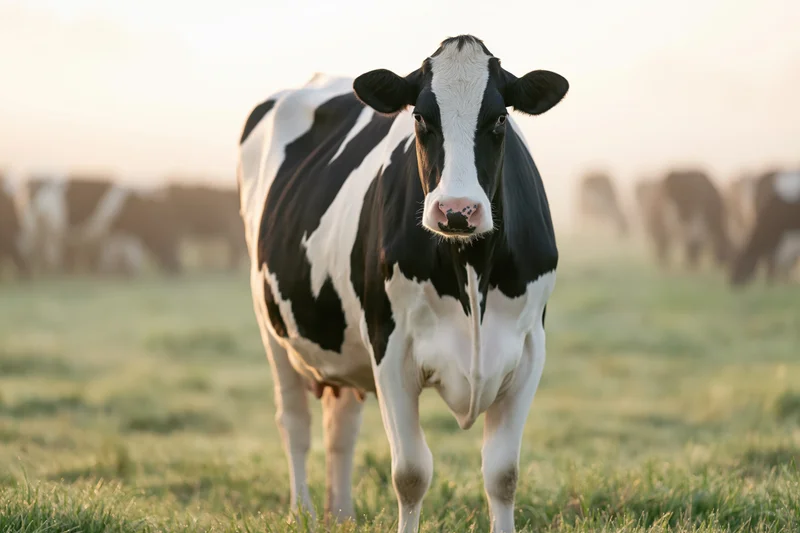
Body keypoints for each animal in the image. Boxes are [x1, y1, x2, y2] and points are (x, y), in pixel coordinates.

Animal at [23, 175, 182, 275]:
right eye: (167, 234)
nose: (177, 268)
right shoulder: (113, 236)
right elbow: (113, 260)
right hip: (50, 232)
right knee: (49, 254)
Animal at [237, 35, 568, 533]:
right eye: (420, 118)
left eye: (499, 119)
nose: (456, 210)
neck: (469, 269)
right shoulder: (389, 347)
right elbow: (411, 474)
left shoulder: (529, 350)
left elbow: (503, 474)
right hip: (271, 325)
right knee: (294, 422)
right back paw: (303, 512)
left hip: (342, 342)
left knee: (341, 426)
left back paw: (341, 514)